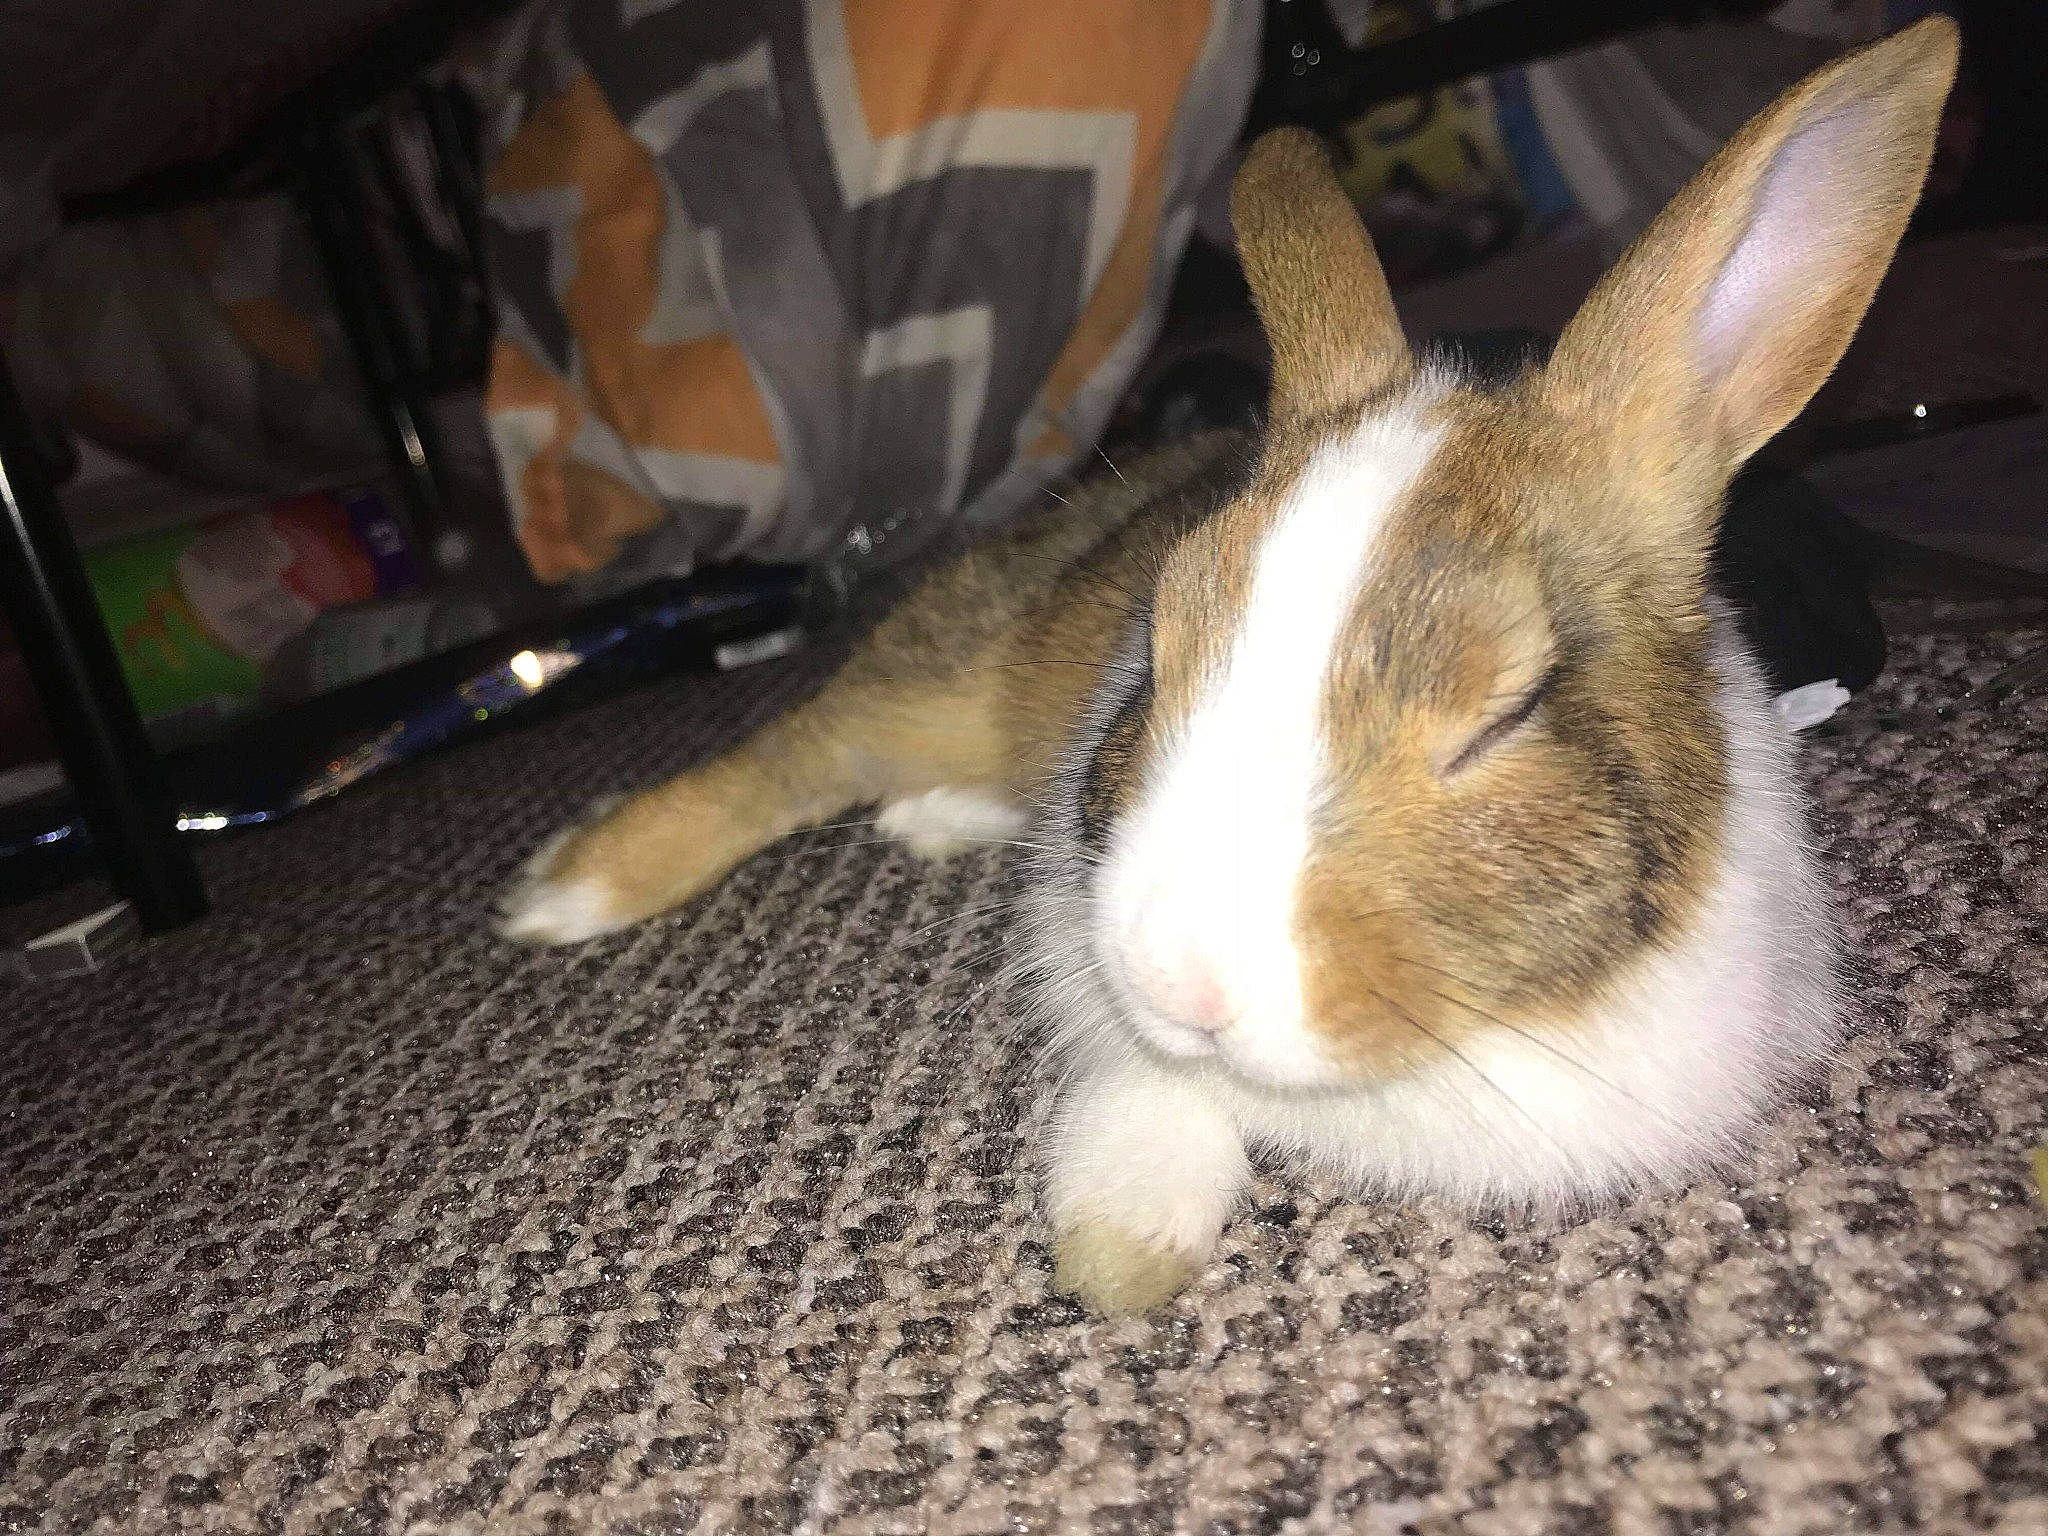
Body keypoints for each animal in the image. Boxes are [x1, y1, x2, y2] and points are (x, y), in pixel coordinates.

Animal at [500, 18, 1958, 1314]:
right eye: (1159, 641)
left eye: (1503, 714)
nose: (1179, 981)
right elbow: (1153, 1093)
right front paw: (1119, 1252)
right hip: (942, 675)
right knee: (796, 751)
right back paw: (564, 889)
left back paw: (937, 818)